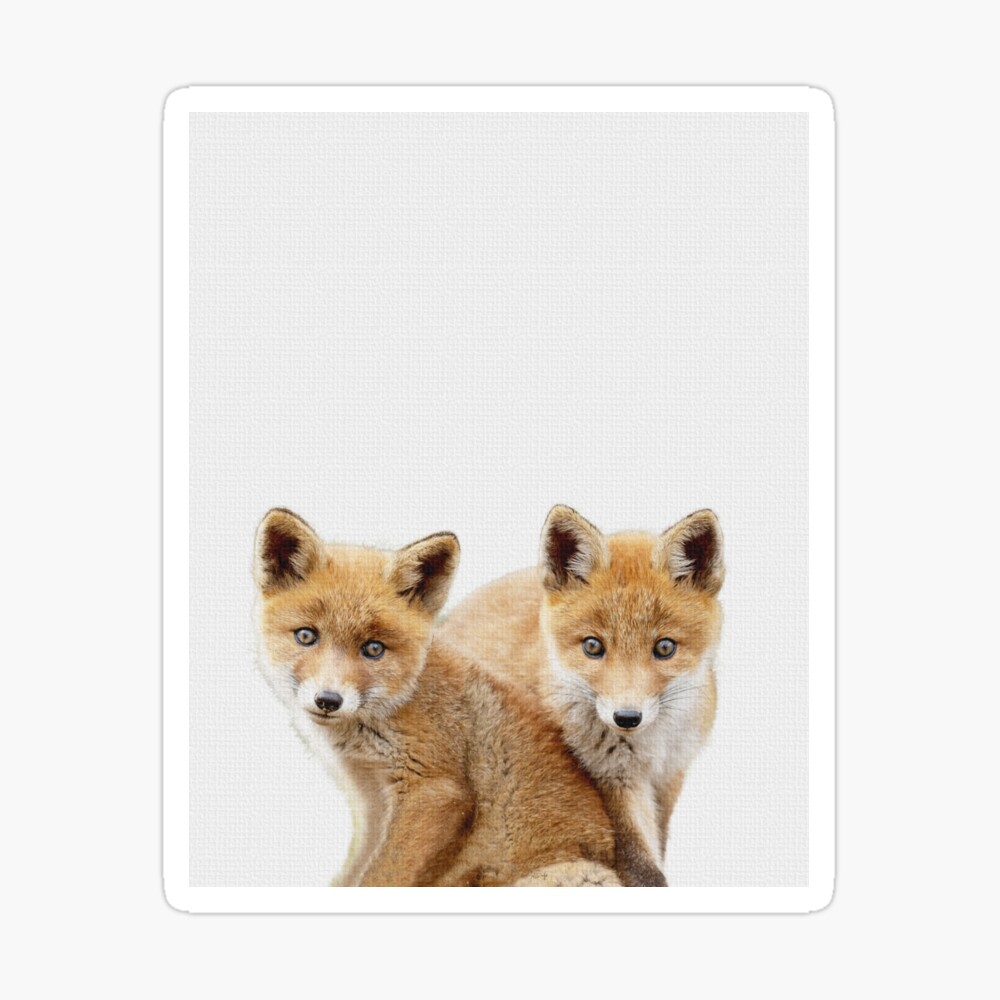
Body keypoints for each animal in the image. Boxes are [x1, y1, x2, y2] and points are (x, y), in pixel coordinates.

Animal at [253, 507, 620, 887]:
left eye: (373, 649)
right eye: (306, 636)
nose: (328, 700)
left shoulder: (434, 790)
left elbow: (383, 876)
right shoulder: (371, 808)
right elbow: (356, 871)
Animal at [438, 505, 724, 887]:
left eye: (665, 648)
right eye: (592, 646)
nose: (627, 718)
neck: (652, 743)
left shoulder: (669, 776)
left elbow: (659, 847)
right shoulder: (611, 779)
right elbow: (643, 869)